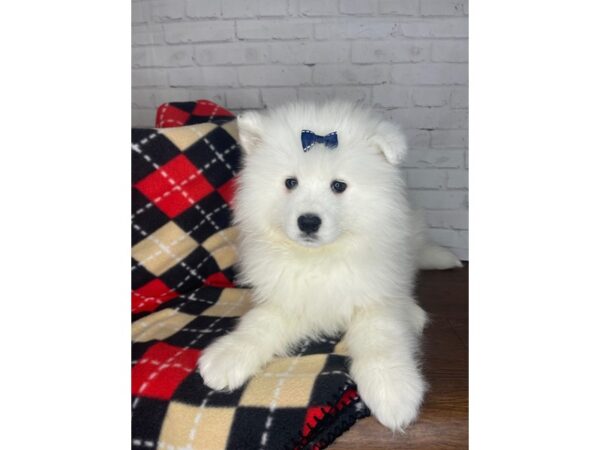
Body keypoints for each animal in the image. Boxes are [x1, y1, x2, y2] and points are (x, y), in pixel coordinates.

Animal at [199, 100, 462, 430]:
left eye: (338, 186)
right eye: (290, 183)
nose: (308, 222)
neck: (321, 258)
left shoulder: (373, 300)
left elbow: (380, 341)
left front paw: (392, 392)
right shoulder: (287, 298)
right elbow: (258, 324)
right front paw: (227, 356)